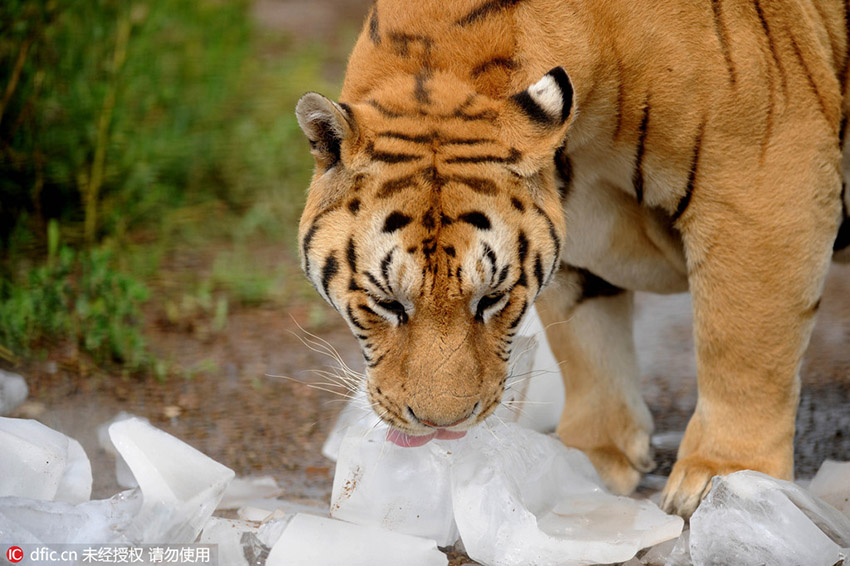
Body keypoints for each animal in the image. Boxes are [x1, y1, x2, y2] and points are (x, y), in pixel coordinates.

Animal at [294, 0, 848, 520]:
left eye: (490, 299)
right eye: (388, 304)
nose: (442, 425)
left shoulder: (759, 186)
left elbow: (742, 345)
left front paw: (729, 479)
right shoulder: (574, 232)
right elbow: (586, 343)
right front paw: (588, 458)